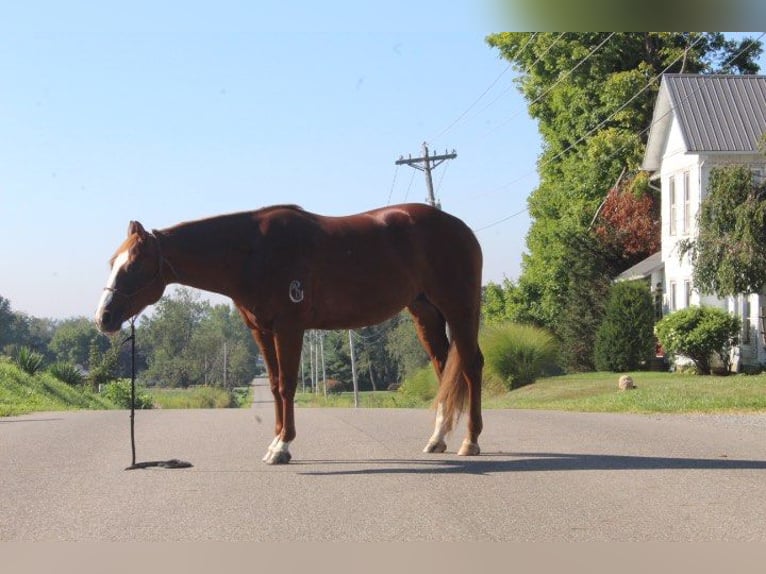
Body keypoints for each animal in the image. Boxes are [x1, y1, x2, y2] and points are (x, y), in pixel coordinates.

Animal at [93, 205, 484, 466]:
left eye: (133, 264)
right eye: (112, 262)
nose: (103, 317)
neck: (254, 252)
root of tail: (460, 227)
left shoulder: (288, 327)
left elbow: (286, 385)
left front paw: (282, 447)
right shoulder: (262, 331)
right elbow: (274, 383)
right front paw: (275, 443)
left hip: (459, 308)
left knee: (470, 366)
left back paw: (470, 441)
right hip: (424, 312)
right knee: (443, 367)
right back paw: (437, 440)